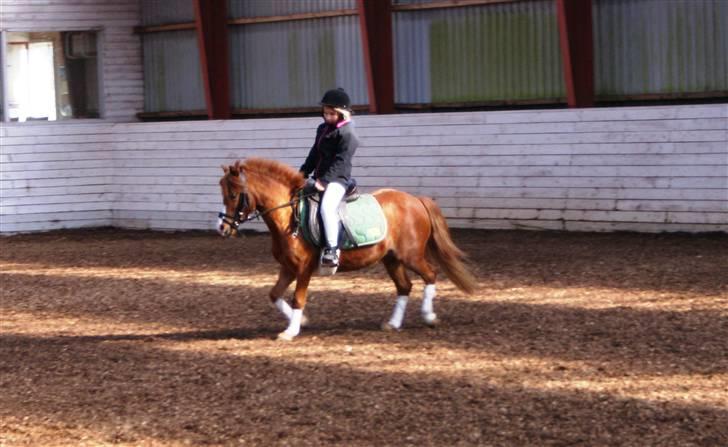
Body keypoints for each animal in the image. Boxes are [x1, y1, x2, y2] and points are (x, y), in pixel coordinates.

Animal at [218, 159, 478, 342]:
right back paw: (393, 324)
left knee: (430, 274)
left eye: (233, 194)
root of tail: (415, 200)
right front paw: (302, 321)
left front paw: (290, 331)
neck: (288, 216)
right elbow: (274, 294)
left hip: (411, 255)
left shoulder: (303, 269)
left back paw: (429, 317)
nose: (223, 228)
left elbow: (297, 298)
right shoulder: (288, 268)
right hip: (391, 259)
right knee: (405, 286)